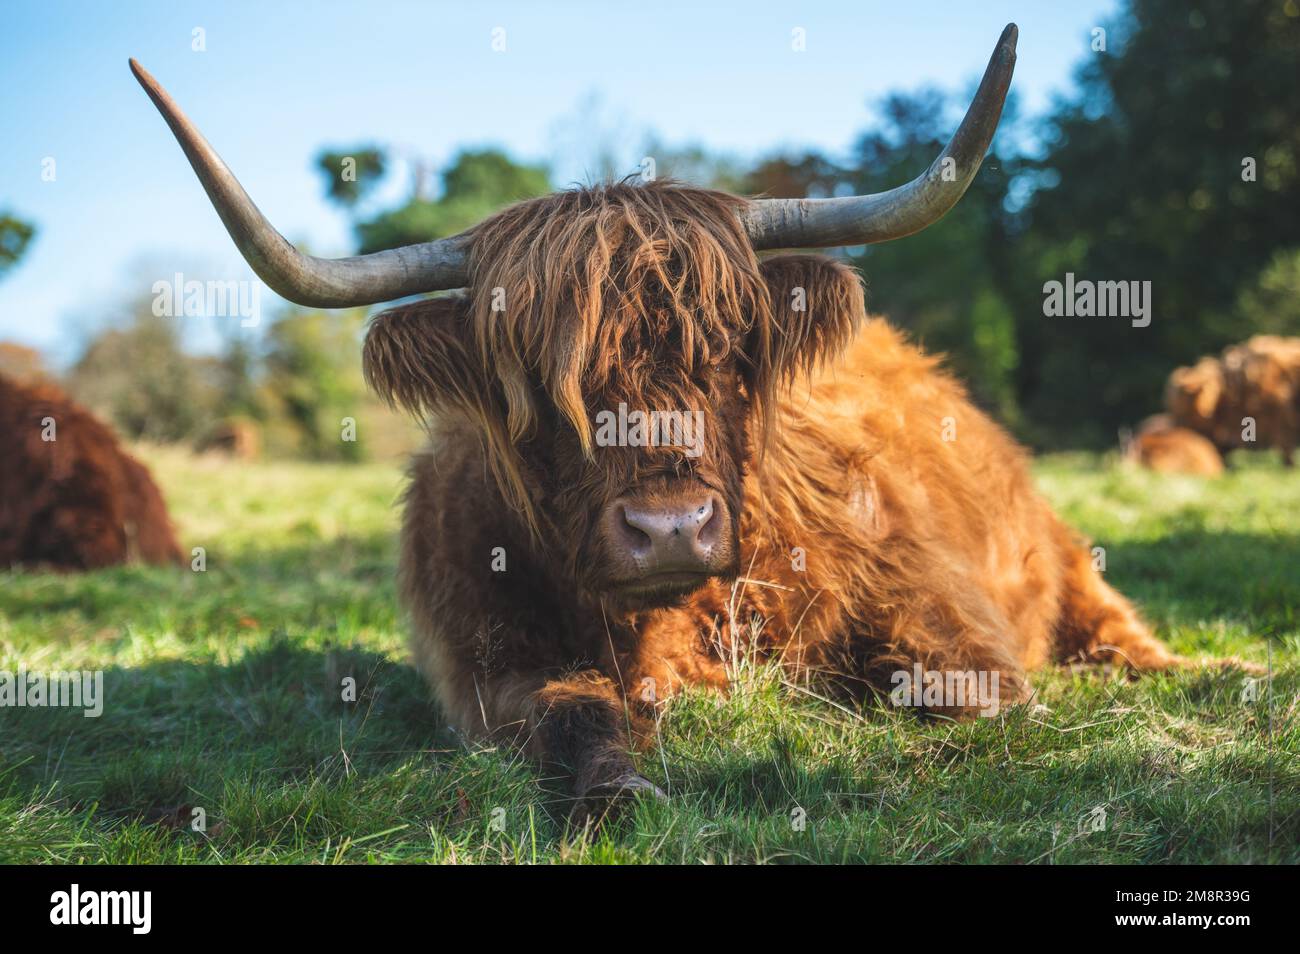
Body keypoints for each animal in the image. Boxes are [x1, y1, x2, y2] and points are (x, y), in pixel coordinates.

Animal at [133, 25, 1207, 812]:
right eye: (539, 386)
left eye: (729, 356)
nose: (669, 529)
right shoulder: (488, 670)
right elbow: (575, 721)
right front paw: (623, 787)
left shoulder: (931, 599)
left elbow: (980, 702)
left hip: (1066, 563)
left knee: (1121, 635)